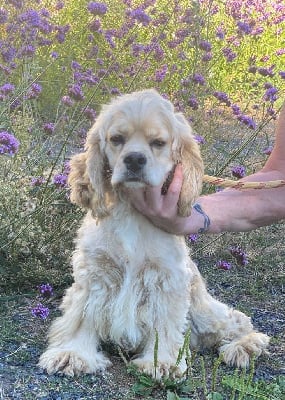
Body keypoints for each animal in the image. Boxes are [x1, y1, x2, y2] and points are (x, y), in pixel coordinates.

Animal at [38, 90, 268, 378]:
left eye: (158, 143)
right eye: (117, 139)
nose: (135, 159)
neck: (132, 210)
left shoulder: (165, 278)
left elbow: (164, 323)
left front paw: (163, 362)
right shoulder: (95, 273)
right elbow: (83, 314)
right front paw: (73, 353)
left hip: (203, 309)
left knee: (236, 320)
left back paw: (244, 346)